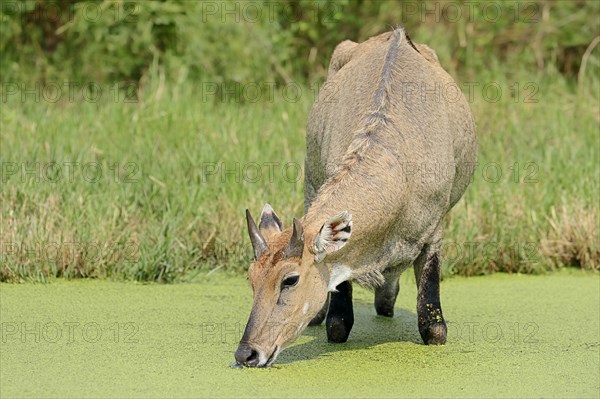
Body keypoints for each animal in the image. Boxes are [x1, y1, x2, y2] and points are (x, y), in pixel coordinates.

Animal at [236, 27, 478, 368]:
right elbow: (338, 324)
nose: (246, 353)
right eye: (251, 278)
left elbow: (435, 331)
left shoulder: (434, 233)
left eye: (290, 279)